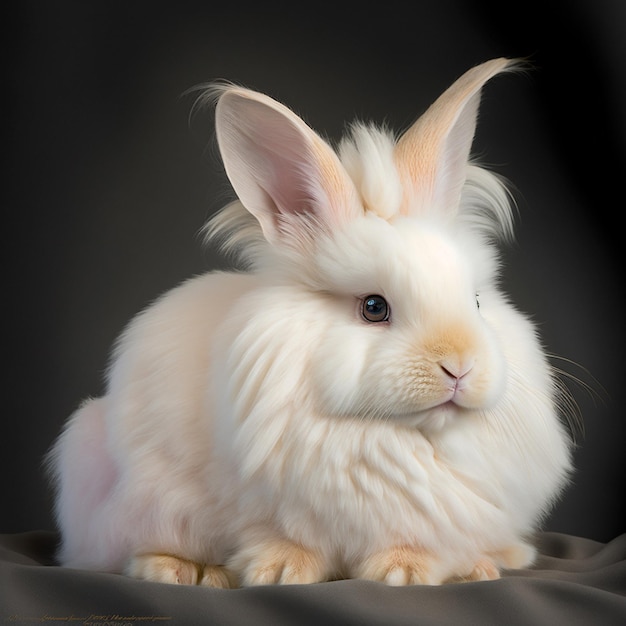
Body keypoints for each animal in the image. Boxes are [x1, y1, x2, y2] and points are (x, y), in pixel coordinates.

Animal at [47, 58, 572, 584]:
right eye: (374, 307)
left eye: (477, 301)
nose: (459, 368)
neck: (392, 435)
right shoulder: (260, 505)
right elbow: (282, 536)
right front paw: (282, 570)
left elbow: (416, 543)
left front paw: (406, 570)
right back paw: (179, 570)